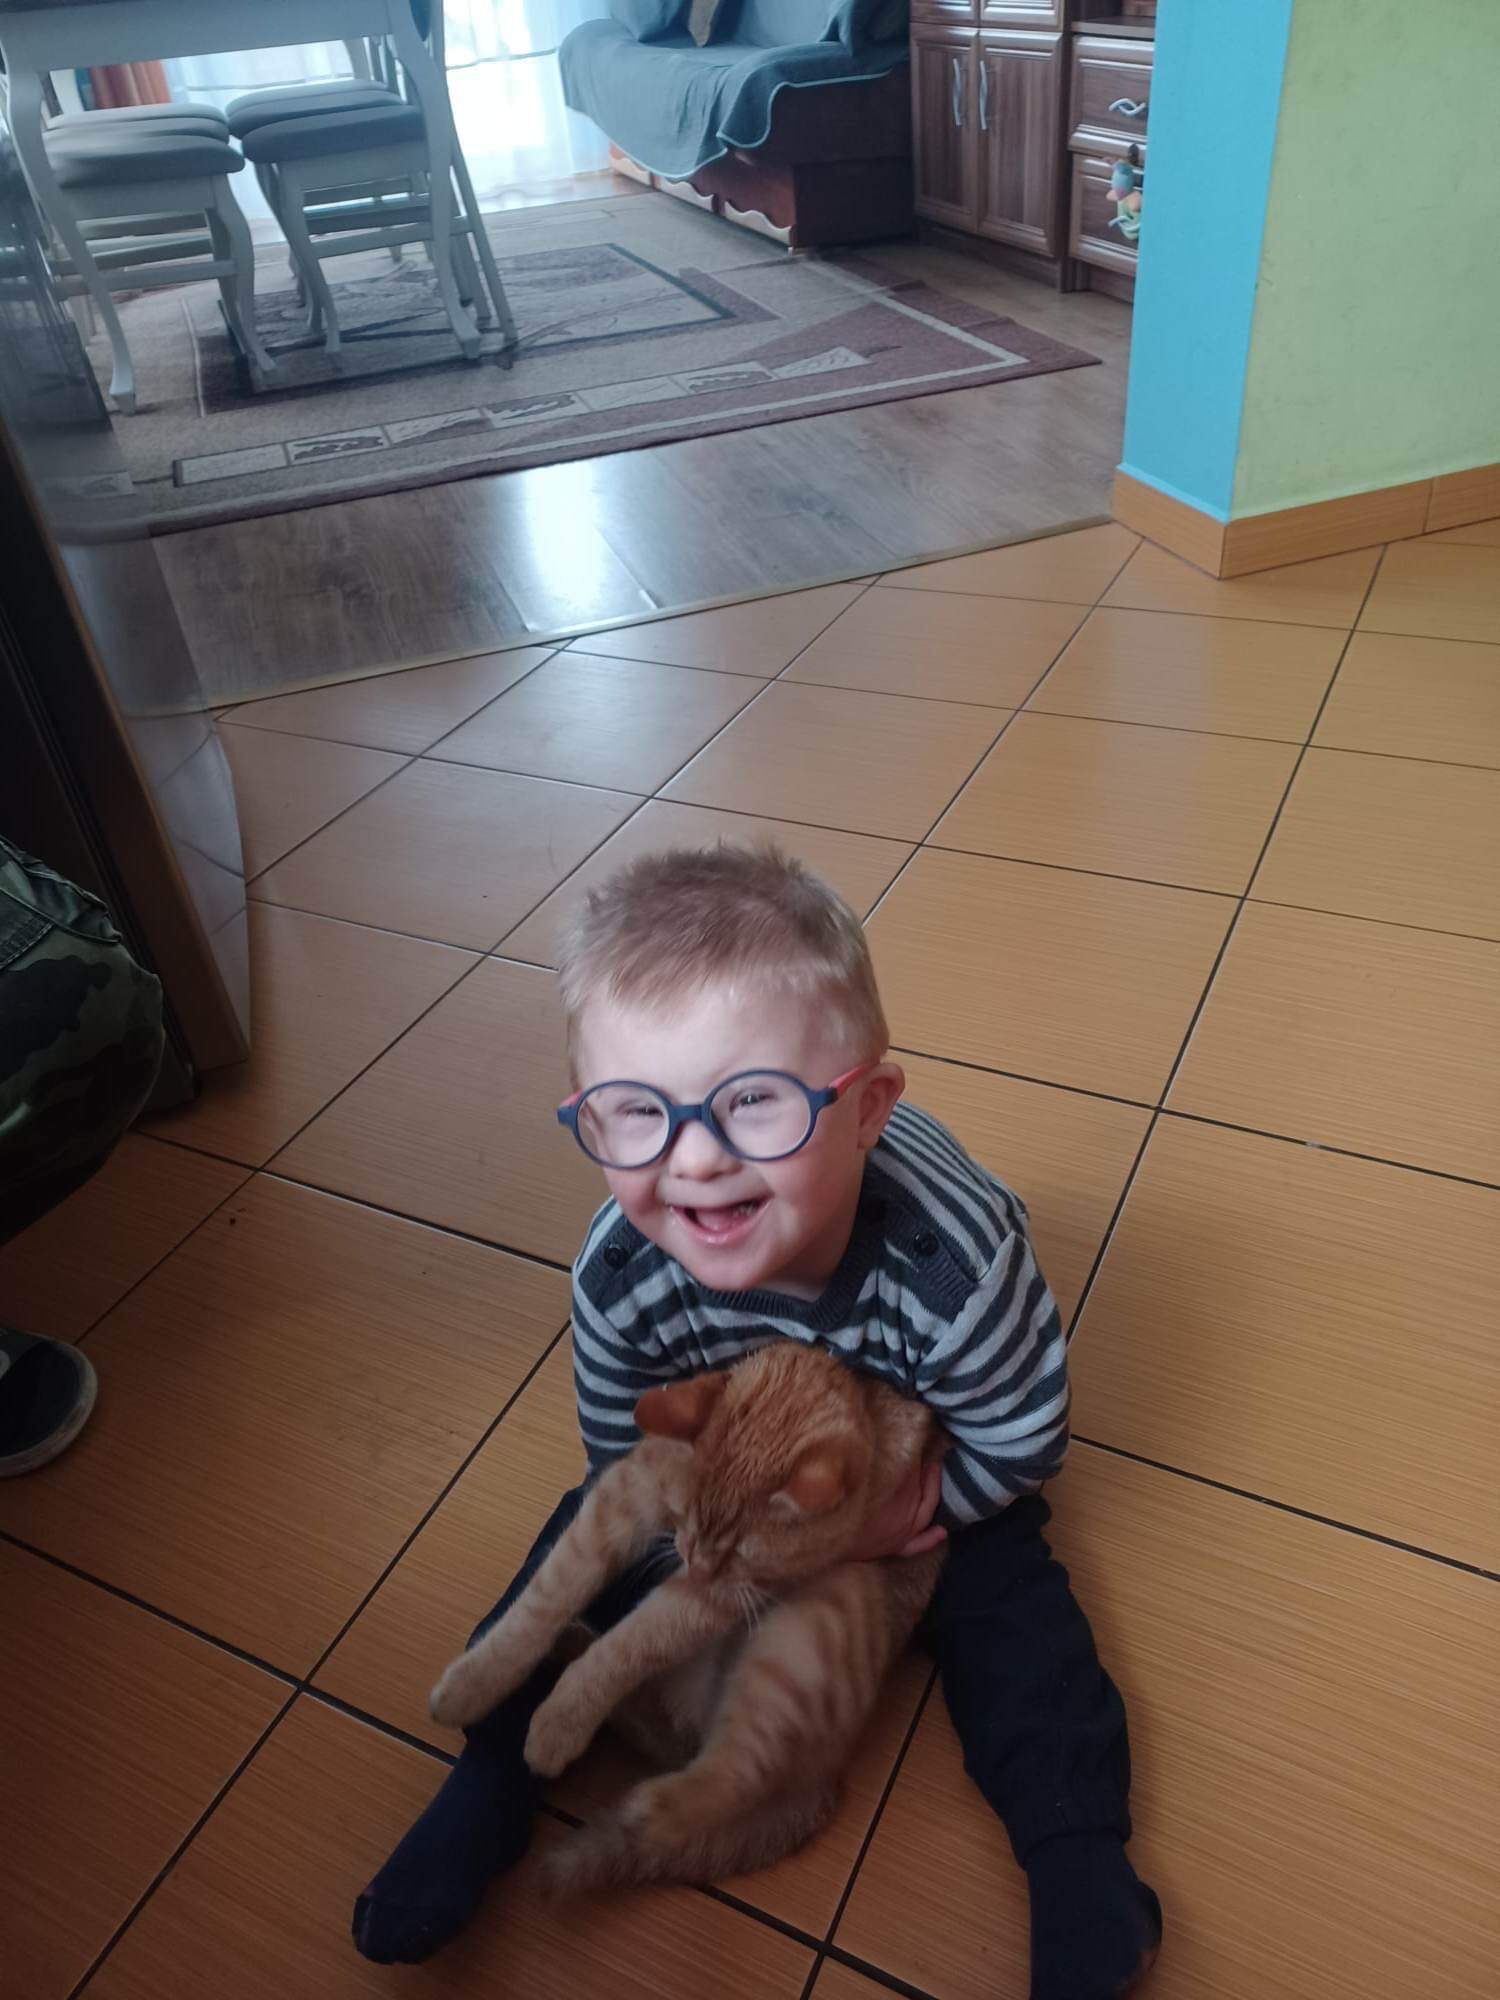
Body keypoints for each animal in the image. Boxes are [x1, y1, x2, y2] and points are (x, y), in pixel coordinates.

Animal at [429, 1340, 947, 1896]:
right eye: (681, 1516)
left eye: (741, 1553)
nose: (692, 1562)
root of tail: (825, 1783)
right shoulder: (626, 1494)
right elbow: (549, 1594)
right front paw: (474, 1682)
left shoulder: (725, 1592)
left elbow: (629, 1644)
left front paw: (562, 1720)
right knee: (668, 1739)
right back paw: (572, 1645)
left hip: (806, 1633)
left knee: (729, 1783)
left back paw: (646, 1808)